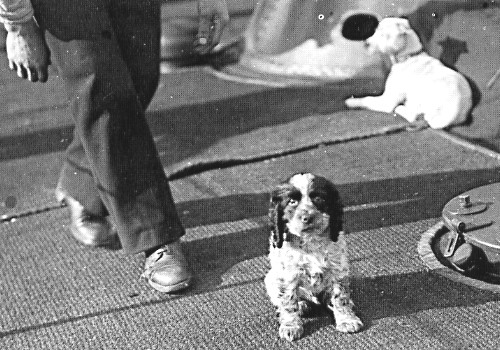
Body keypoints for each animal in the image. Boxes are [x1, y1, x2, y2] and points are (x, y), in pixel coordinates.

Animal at [266, 173, 364, 342]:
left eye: (319, 198)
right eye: (292, 202)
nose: (307, 217)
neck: (310, 241)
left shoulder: (338, 271)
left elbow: (340, 297)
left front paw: (347, 320)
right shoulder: (287, 275)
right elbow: (288, 301)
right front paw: (291, 326)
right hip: (271, 279)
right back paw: (301, 305)